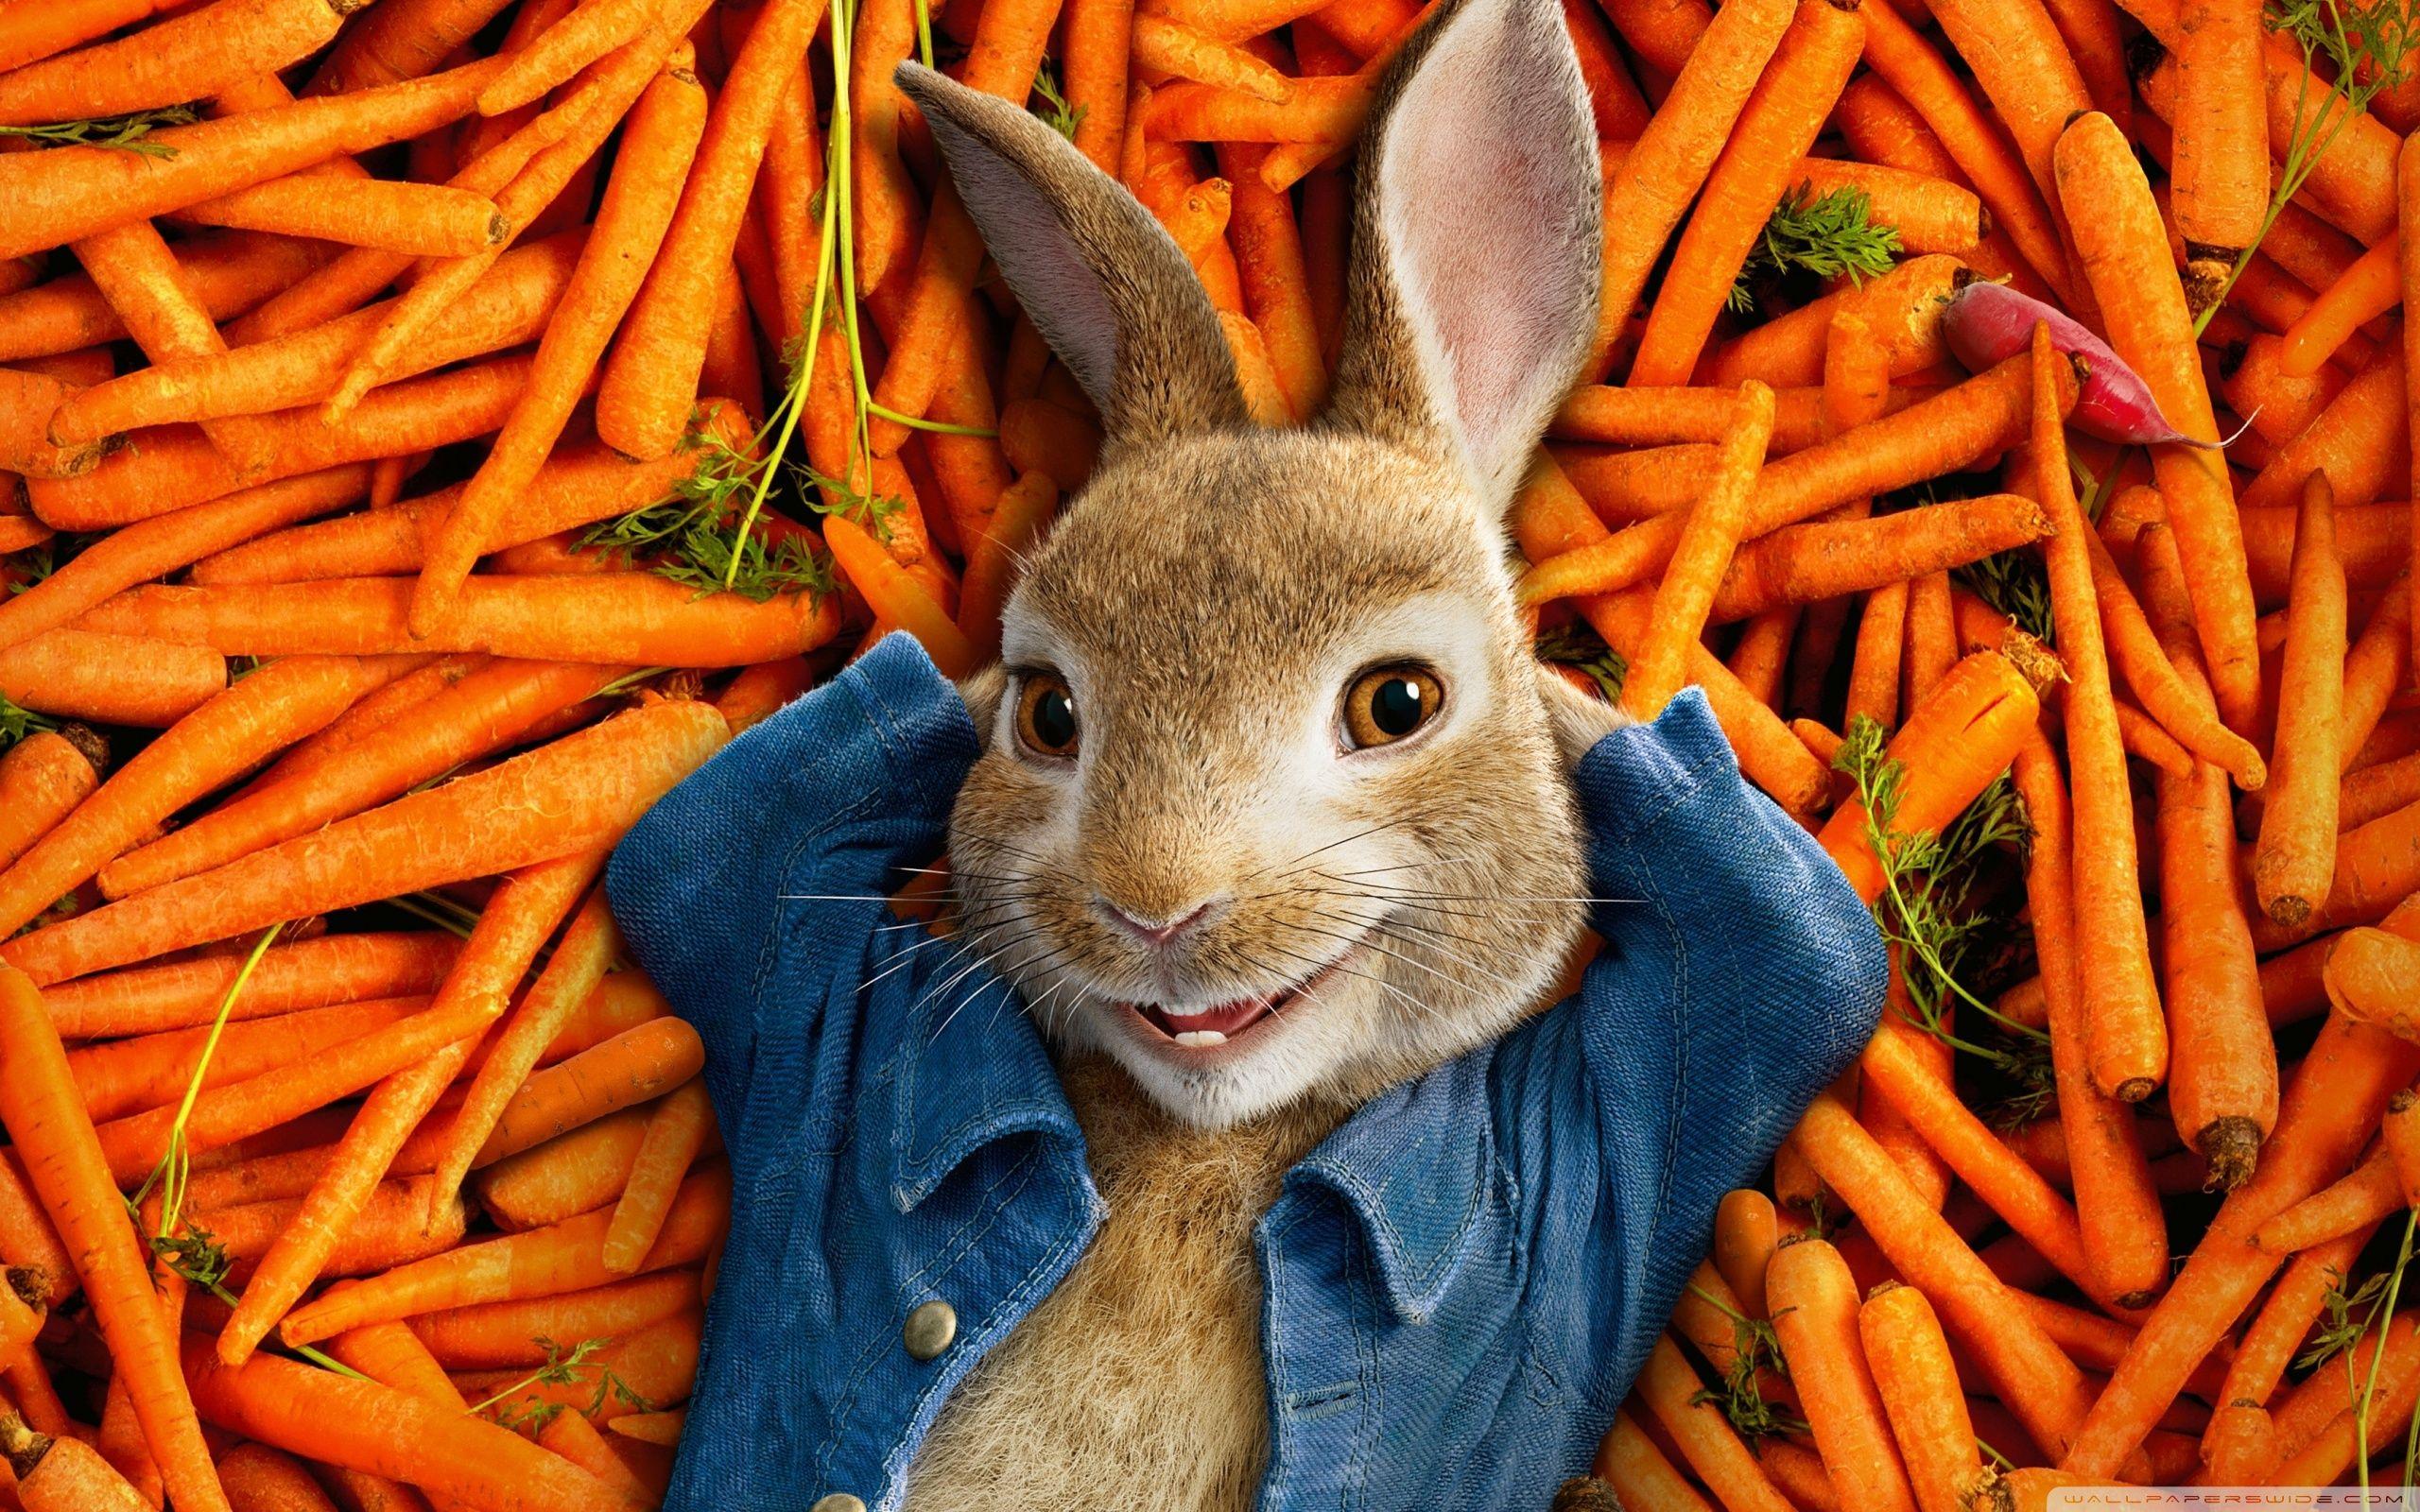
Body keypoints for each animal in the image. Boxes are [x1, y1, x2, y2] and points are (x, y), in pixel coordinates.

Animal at [602, 0, 1885, 1503]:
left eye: (1397, 704)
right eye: (1047, 714)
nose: (1155, 908)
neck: (1204, 1134)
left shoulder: (1644, 1112)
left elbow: (1797, 968)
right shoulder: (805, 995)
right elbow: (699, 854)